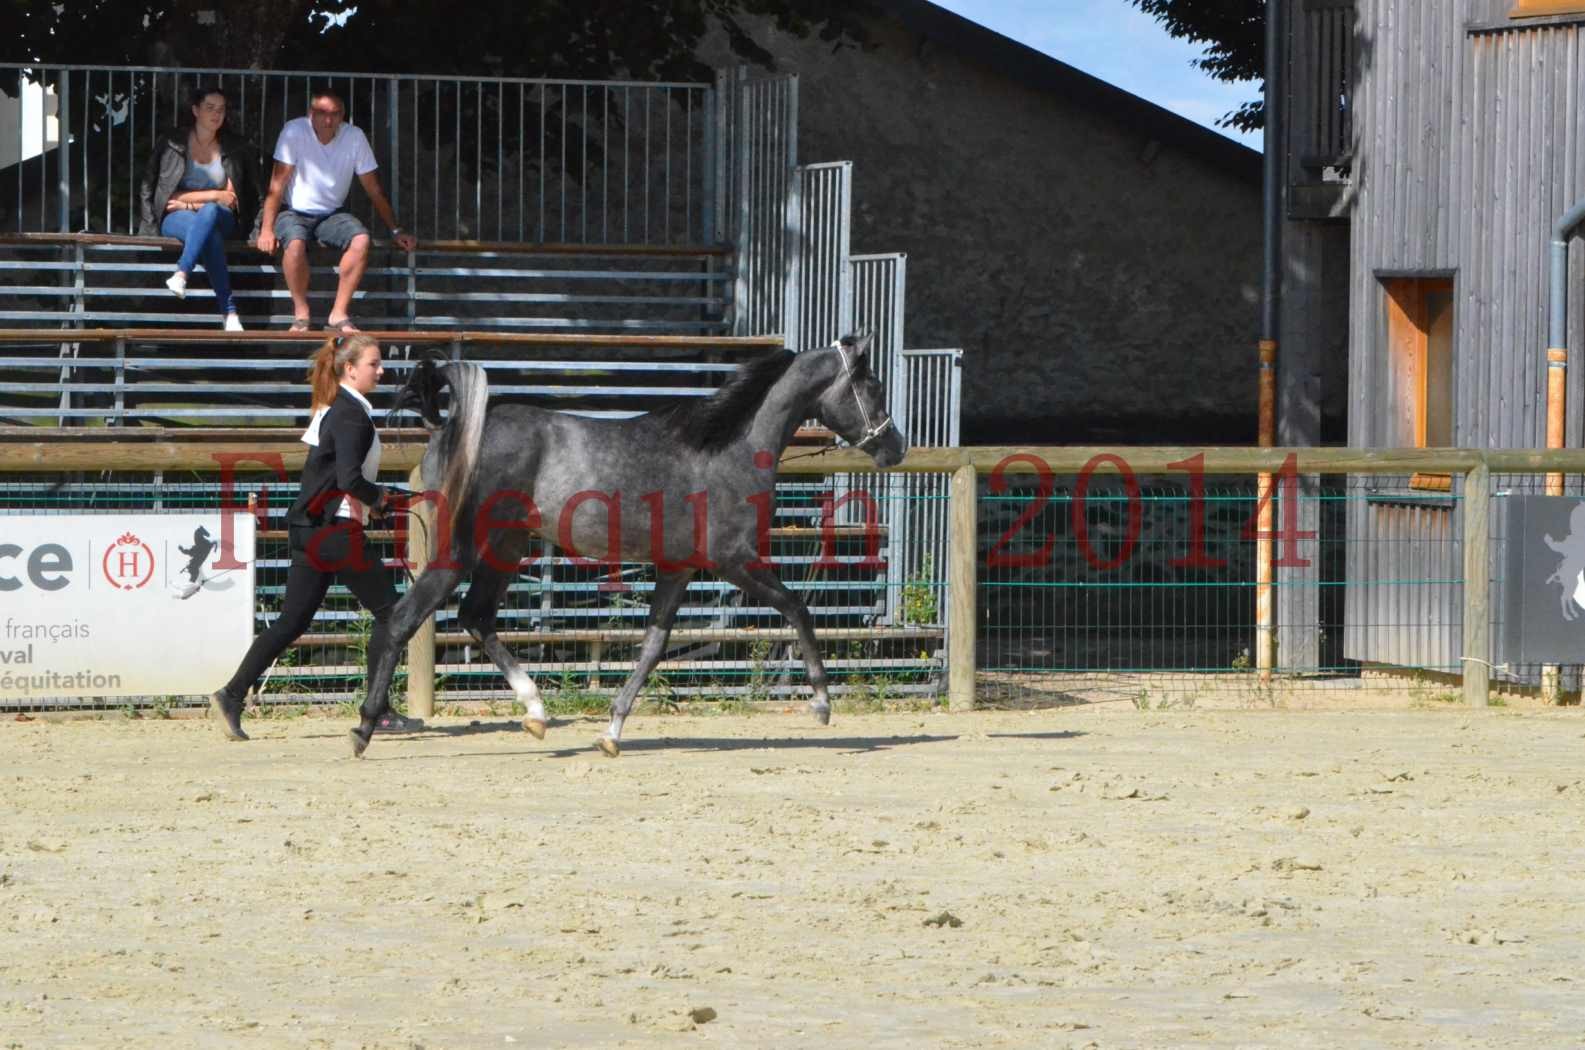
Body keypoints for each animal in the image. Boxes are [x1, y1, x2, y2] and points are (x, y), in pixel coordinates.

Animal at [353, 337, 912, 758]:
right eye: (873, 385)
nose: (896, 447)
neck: (726, 447)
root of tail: (454, 426)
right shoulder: (735, 560)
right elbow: (797, 607)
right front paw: (821, 703)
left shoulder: (678, 568)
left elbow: (652, 648)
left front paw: (611, 733)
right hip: (466, 550)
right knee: (402, 620)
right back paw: (365, 728)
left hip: (507, 548)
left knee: (476, 616)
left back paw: (536, 712)